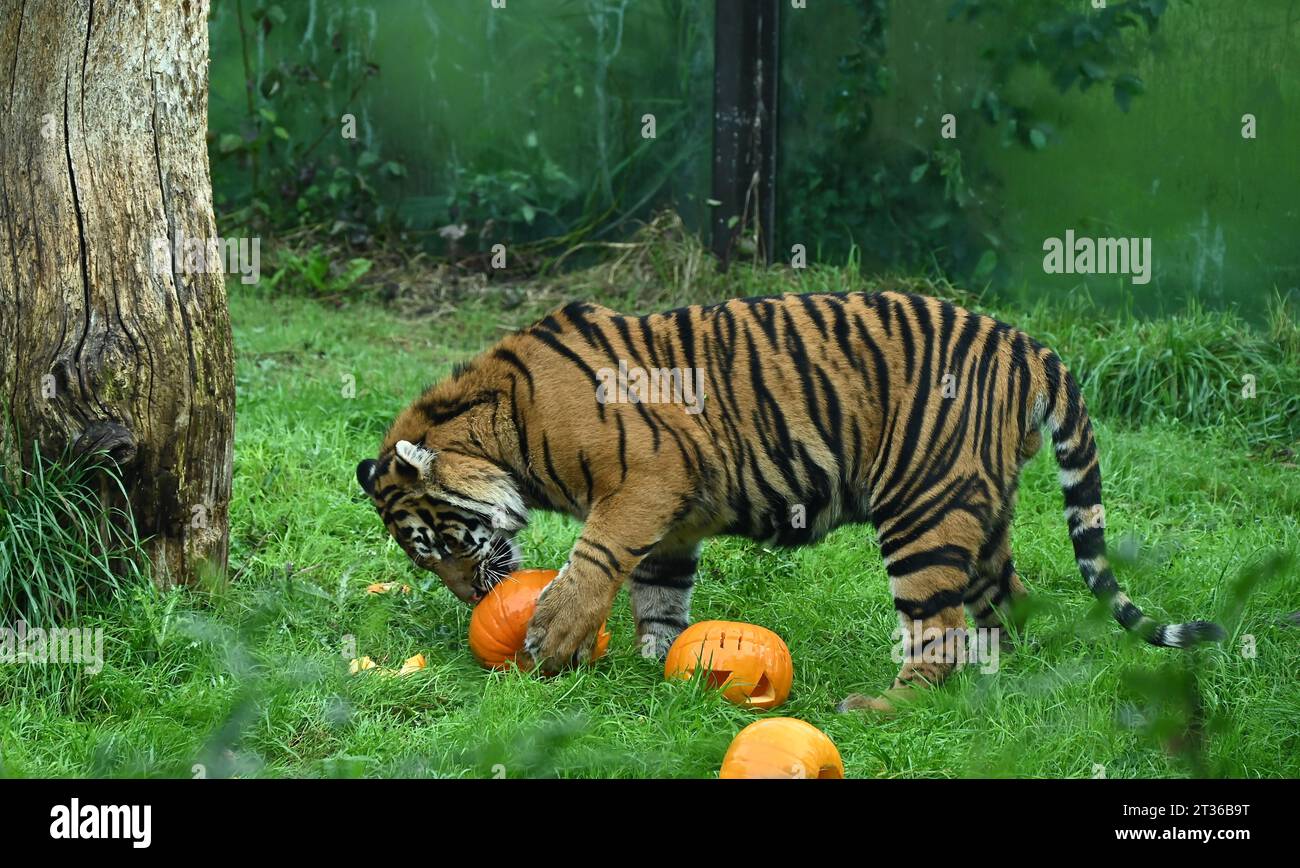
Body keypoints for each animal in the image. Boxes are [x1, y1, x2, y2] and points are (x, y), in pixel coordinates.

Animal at [356, 290, 1224, 710]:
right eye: (428, 562)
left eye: (447, 545)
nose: (475, 598)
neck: (502, 424)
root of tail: (1026, 343)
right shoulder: (672, 520)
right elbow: (659, 597)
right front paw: (655, 667)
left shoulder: (647, 479)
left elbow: (595, 561)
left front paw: (555, 638)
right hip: (979, 513)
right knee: (1004, 605)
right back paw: (998, 686)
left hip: (924, 511)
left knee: (937, 632)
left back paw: (883, 708)